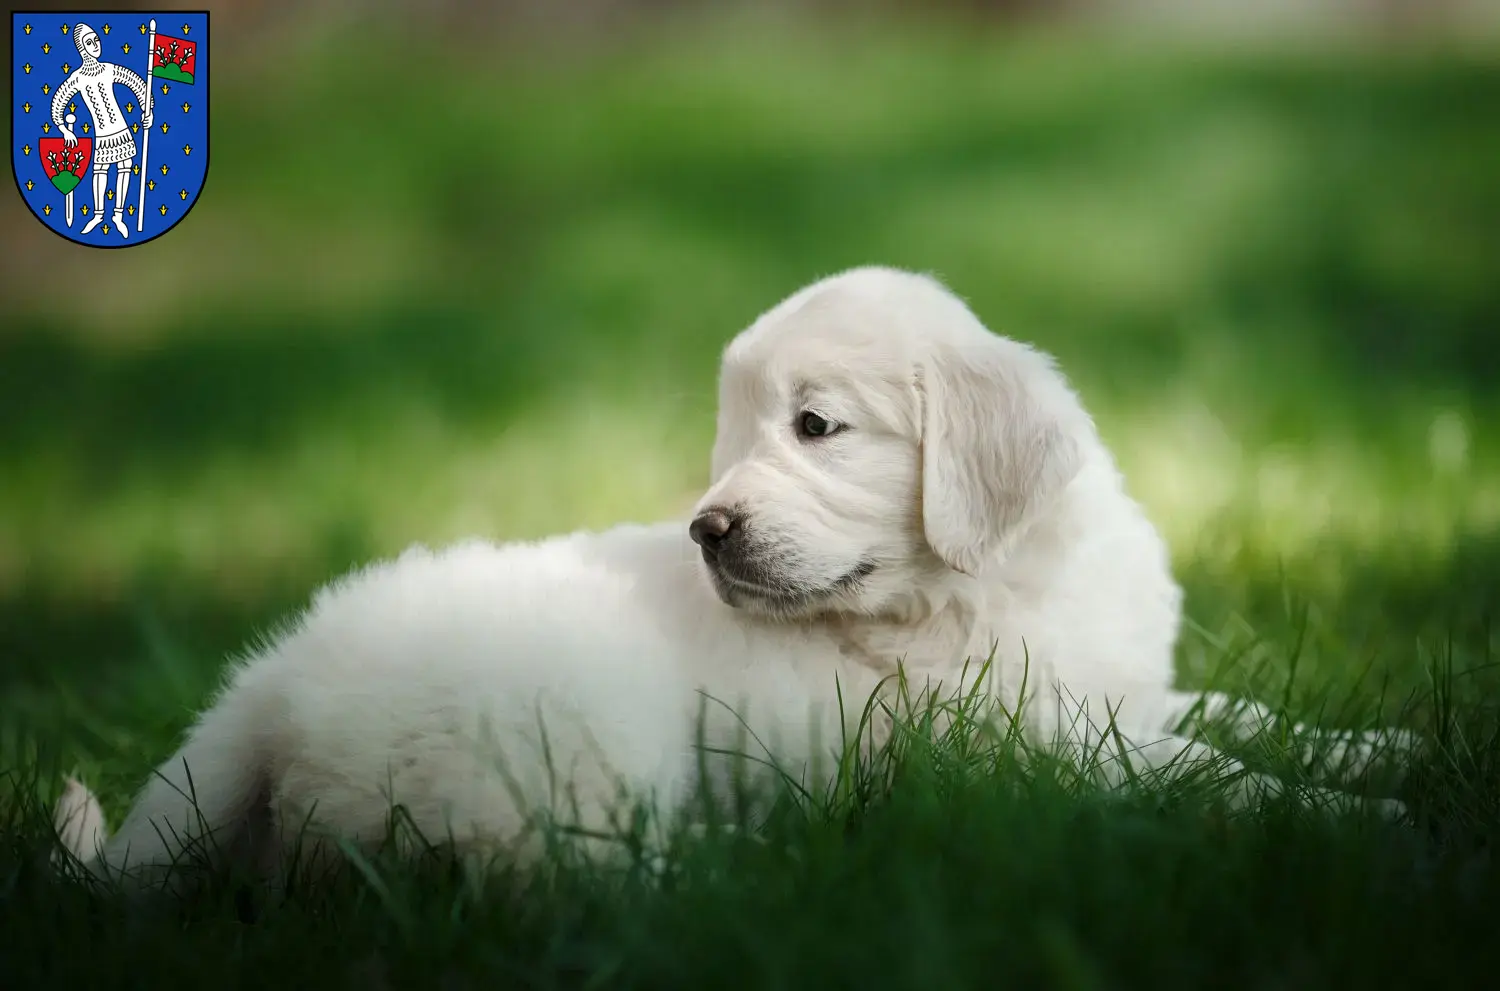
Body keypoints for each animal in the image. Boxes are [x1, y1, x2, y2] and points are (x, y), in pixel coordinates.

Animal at [49, 265, 1404, 887]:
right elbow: (1205, 766)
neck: (987, 583)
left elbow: (1236, 714)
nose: (706, 528)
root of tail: (270, 693)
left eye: (813, 426)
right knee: (573, 872)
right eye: (731, 436)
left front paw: (1378, 747)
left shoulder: (1109, 692)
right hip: (575, 739)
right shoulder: (1021, 742)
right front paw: (1350, 815)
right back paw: (767, 861)